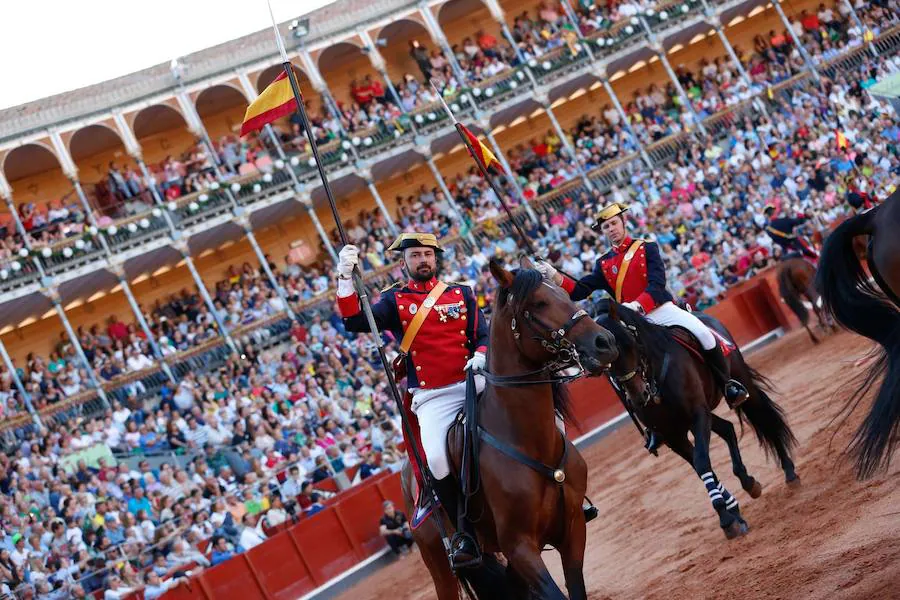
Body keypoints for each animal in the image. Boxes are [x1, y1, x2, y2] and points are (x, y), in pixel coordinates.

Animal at [400, 264, 620, 600]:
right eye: (538, 303)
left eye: (565, 293)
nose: (604, 342)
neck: (528, 441)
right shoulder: (520, 547)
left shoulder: (573, 532)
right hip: (439, 563)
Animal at [596, 300, 796, 540]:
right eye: (604, 360)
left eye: (628, 342)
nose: (637, 396)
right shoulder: (672, 434)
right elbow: (700, 468)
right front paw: (732, 514)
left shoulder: (698, 415)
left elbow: (701, 461)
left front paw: (727, 518)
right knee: (728, 428)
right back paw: (747, 481)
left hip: (739, 381)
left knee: (764, 417)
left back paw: (789, 471)